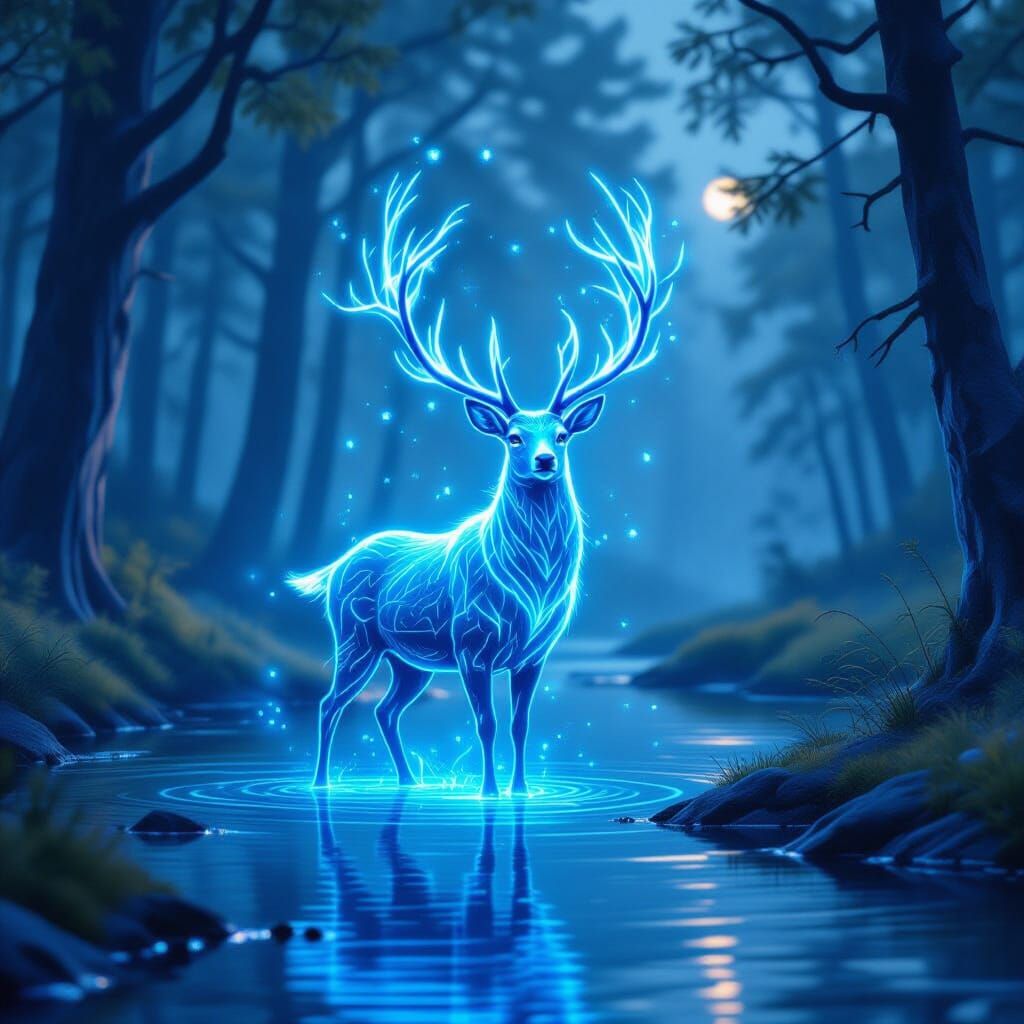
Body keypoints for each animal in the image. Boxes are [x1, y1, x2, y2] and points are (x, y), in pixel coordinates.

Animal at [288, 173, 683, 795]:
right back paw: (321, 784)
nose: (544, 461)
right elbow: (486, 723)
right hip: (354, 635)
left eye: (563, 434)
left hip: (409, 659)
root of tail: (334, 567)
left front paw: (521, 792)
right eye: (514, 436)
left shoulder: (536, 652)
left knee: (385, 710)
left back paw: (408, 782)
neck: (534, 589)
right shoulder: (472, 644)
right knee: (332, 704)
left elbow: (521, 724)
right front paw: (489, 794)